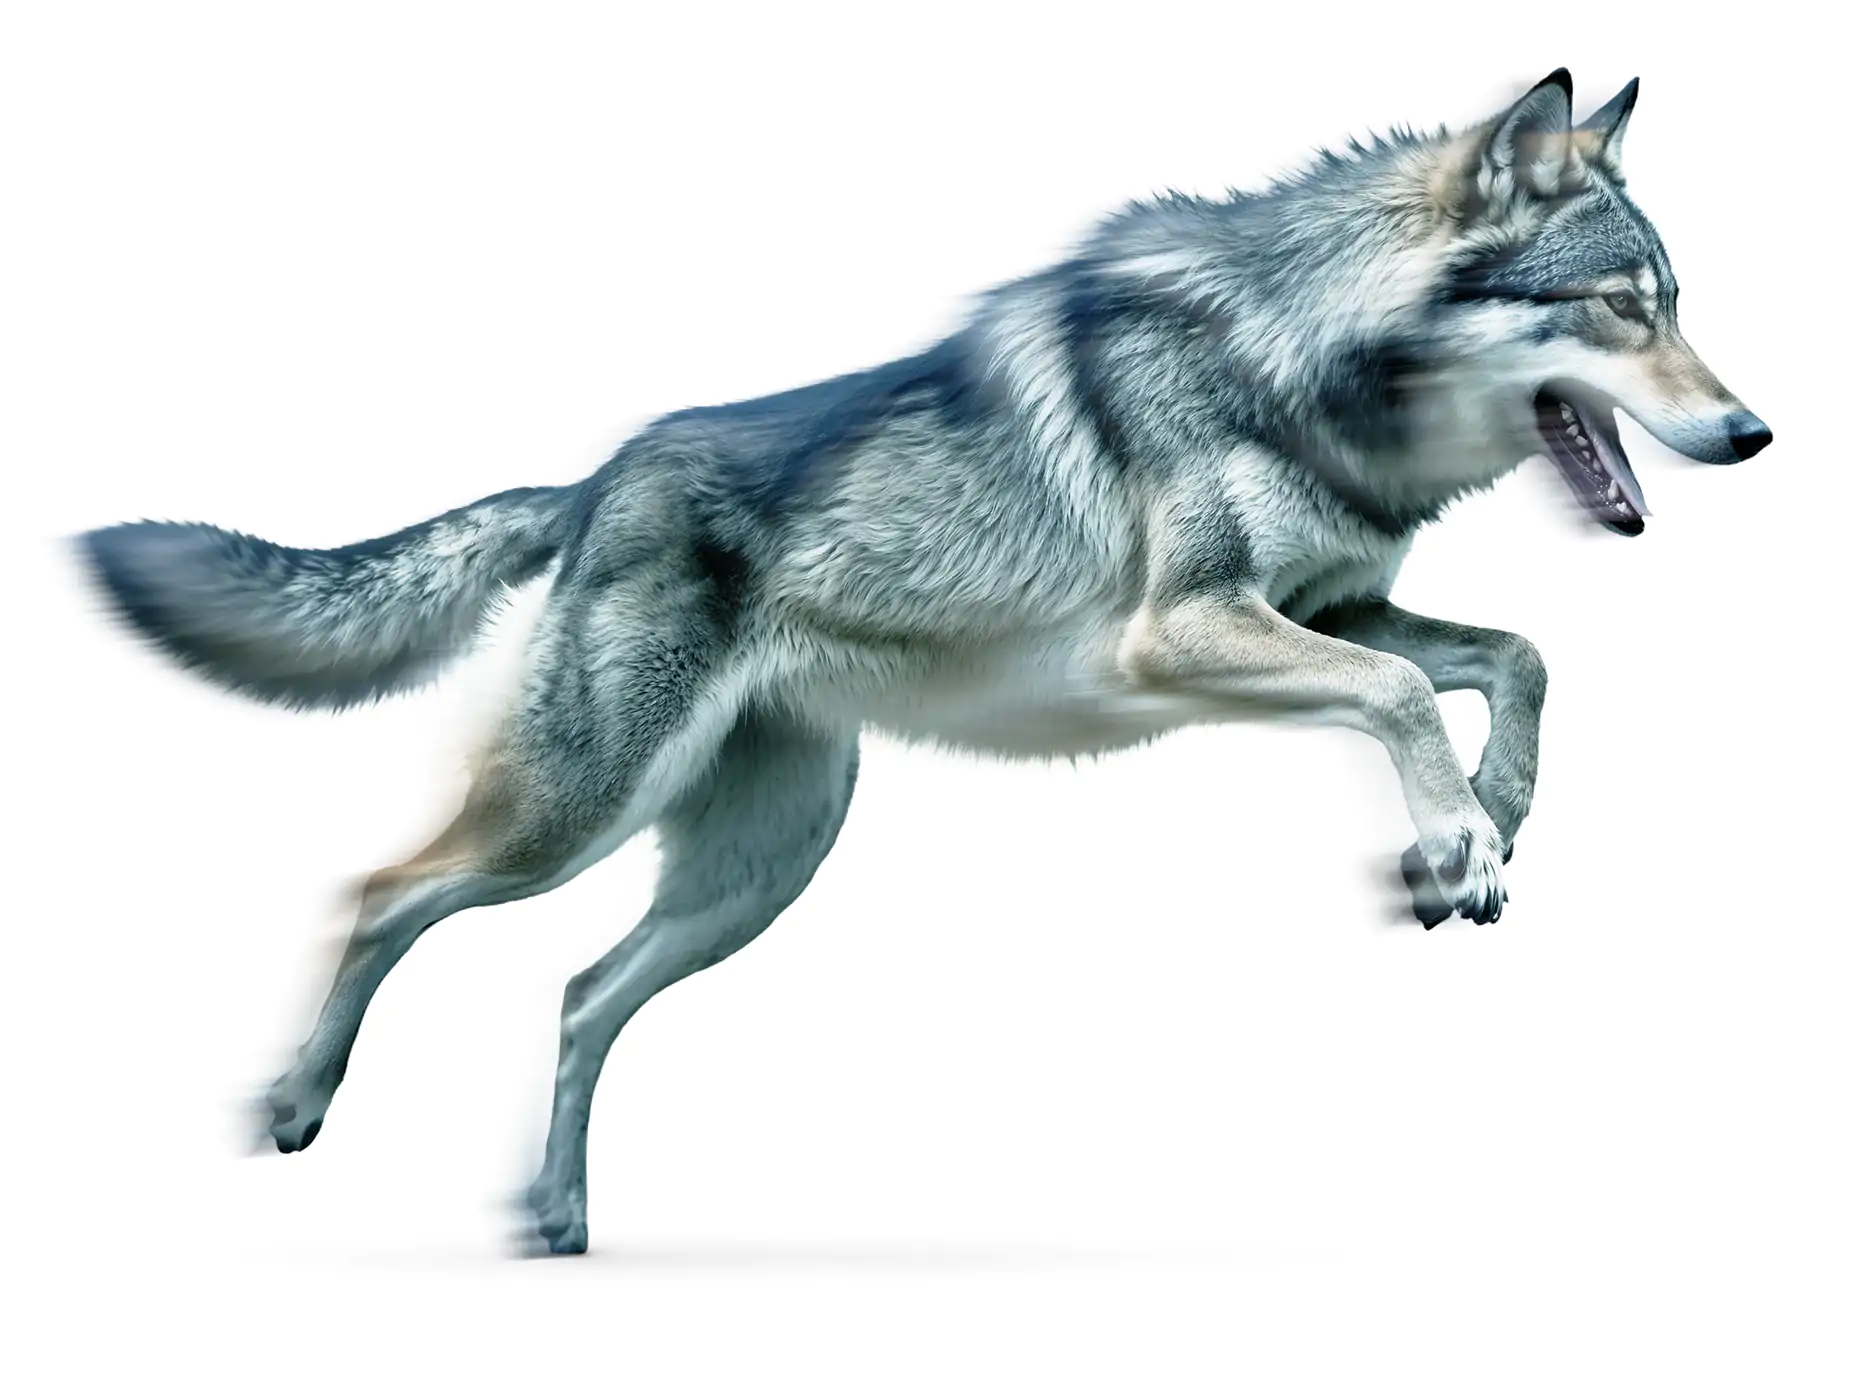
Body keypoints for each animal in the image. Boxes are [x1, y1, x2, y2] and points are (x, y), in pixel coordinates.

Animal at [80, 69, 1770, 1254]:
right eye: (1619, 308)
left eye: (1678, 306)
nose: (1754, 432)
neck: (1297, 358)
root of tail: (595, 479)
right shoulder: (1191, 633)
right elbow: (1417, 688)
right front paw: (1453, 846)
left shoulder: (1332, 612)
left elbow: (1515, 655)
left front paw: (1494, 812)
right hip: (571, 825)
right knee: (381, 894)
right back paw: (297, 1102)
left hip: (755, 872)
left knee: (576, 992)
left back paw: (556, 1217)